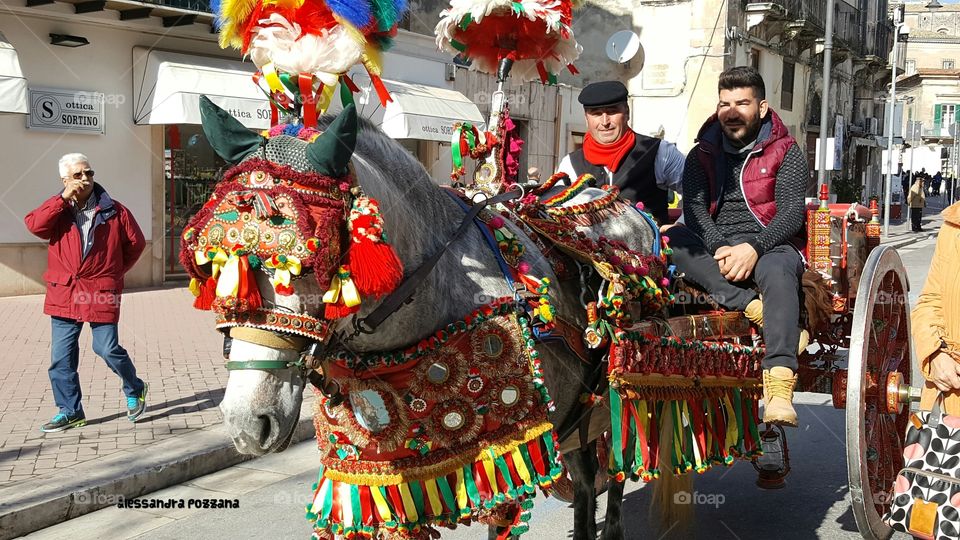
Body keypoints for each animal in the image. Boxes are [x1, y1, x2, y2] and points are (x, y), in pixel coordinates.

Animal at [187, 98, 664, 540]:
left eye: (312, 263)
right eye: (215, 263)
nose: (246, 422)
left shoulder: (511, 452)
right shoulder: (384, 474)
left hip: (624, 393)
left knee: (616, 465)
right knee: (585, 480)